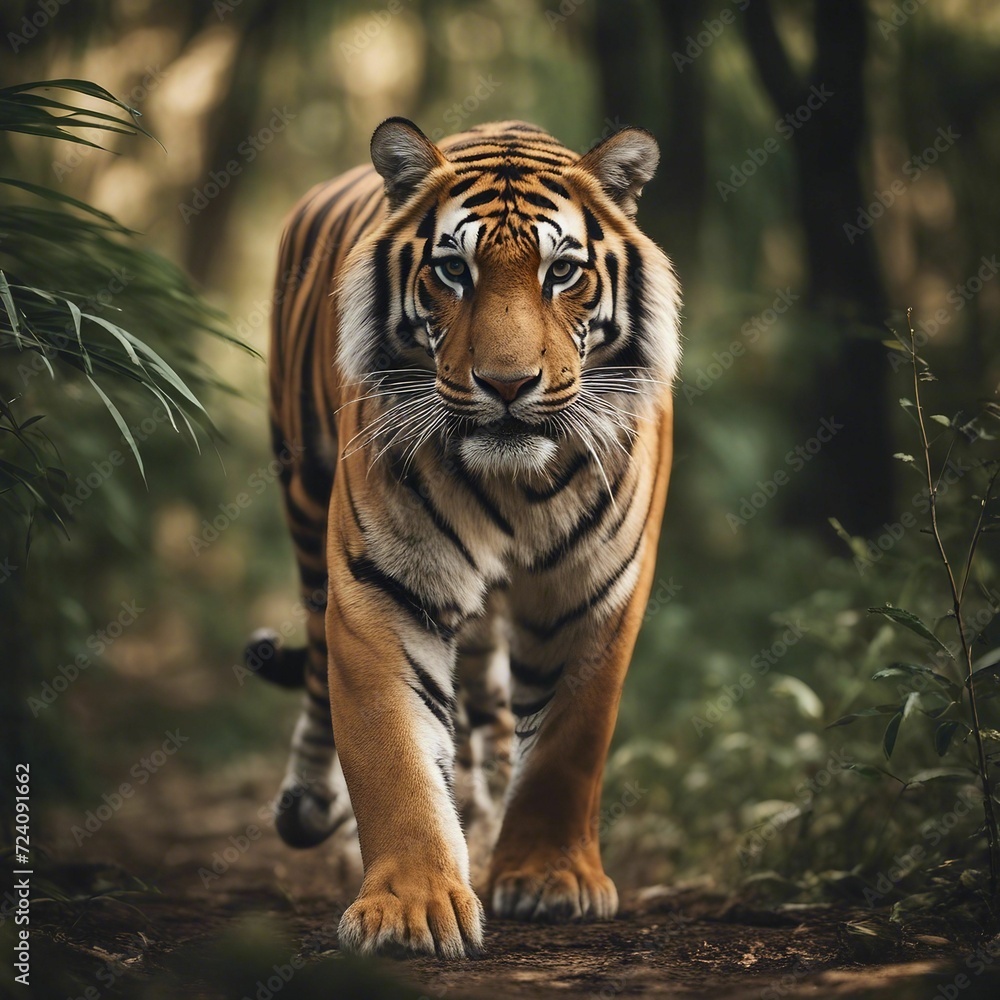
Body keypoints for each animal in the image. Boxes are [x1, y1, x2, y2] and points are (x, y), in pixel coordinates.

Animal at [246, 117, 681, 958]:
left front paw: (548, 876)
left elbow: (568, 744)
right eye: (453, 270)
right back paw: (311, 805)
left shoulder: (596, 589)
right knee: (315, 663)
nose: (507, 385)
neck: (514, 487)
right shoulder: (381, 585)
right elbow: (392, 752)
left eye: (562, 271)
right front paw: (410, 906)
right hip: (303, 492)